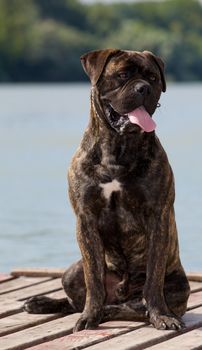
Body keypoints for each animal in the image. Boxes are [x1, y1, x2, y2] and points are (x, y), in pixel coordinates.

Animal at [24, 47, 190, 332]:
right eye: (122, 75)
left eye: (153, 78)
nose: (144, 88)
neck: (117, 146)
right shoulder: (86, 218)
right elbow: (94, 281)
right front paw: (90, 316)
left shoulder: (157, 217)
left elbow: (153, 280)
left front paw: (161, 316)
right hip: (70, 273)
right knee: (78, 300)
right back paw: (44, 303)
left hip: (180, 285)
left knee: (134, 305)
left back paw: (116, 309)